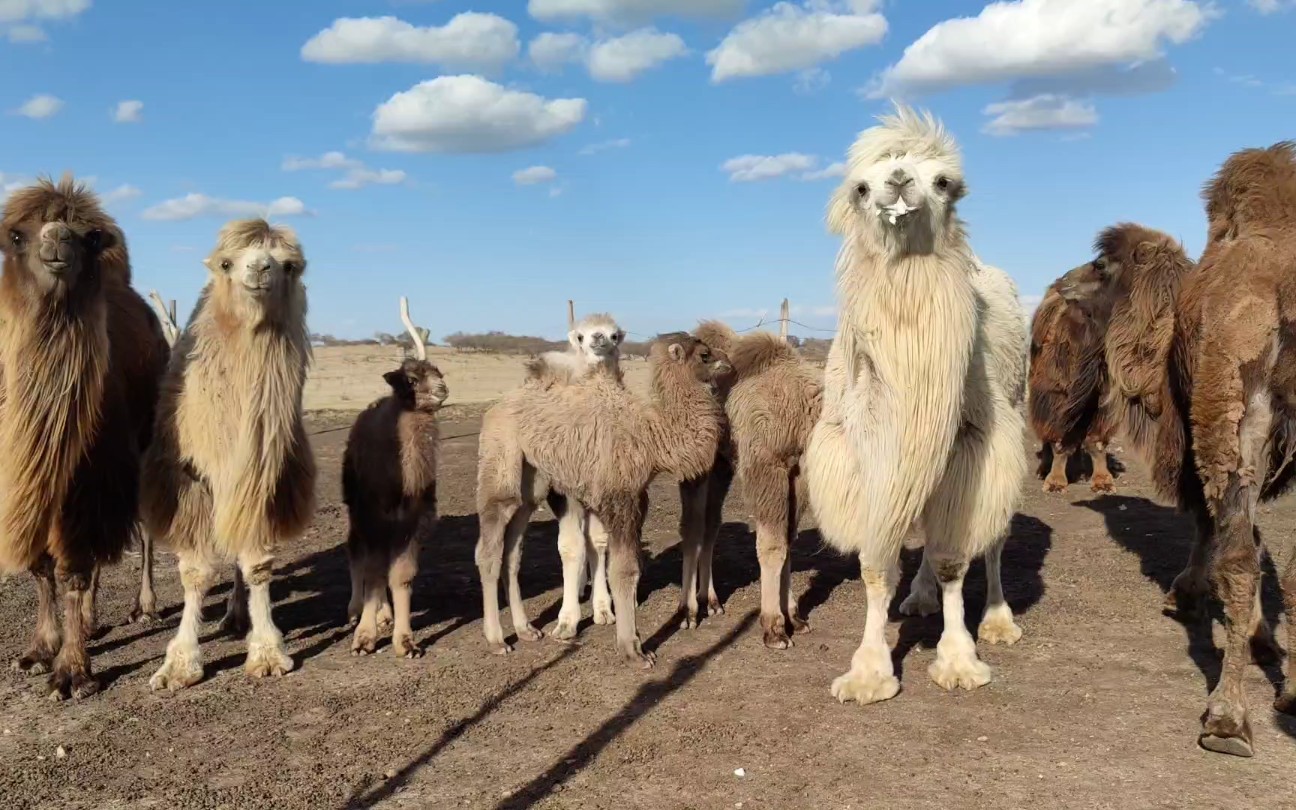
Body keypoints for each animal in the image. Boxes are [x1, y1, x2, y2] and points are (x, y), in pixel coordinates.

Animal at [0, 174, 169, 694]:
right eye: (17, 235)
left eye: (87, 238)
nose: (57, 238)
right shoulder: (26, 480)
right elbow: (41, 567)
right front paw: (39, 650)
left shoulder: (88, 475)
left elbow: (72, 567)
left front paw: (73, 671)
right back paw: (94, 621)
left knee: (141, 529)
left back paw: (144, 607)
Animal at [342, 296, 448, 658]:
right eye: (411, 380)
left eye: (437, 372)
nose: (442, 390)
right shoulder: (373, 513)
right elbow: (373, 572)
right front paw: (364, 638)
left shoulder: (413, 518)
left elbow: (401, 575)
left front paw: (406, 641)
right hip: (356, 509)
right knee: (357, 554)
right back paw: (356, 610)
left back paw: (385, 615)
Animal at [803, 104, 1026, 705]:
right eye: (861, 187)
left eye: (945, 182)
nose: (899, 182)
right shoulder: (864, 455)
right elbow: (876, 565)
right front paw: (868, 673)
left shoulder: (972, 449)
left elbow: (954, 558)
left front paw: (959, 660)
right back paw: (920, 597)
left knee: (993, 540)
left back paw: (998, 621)